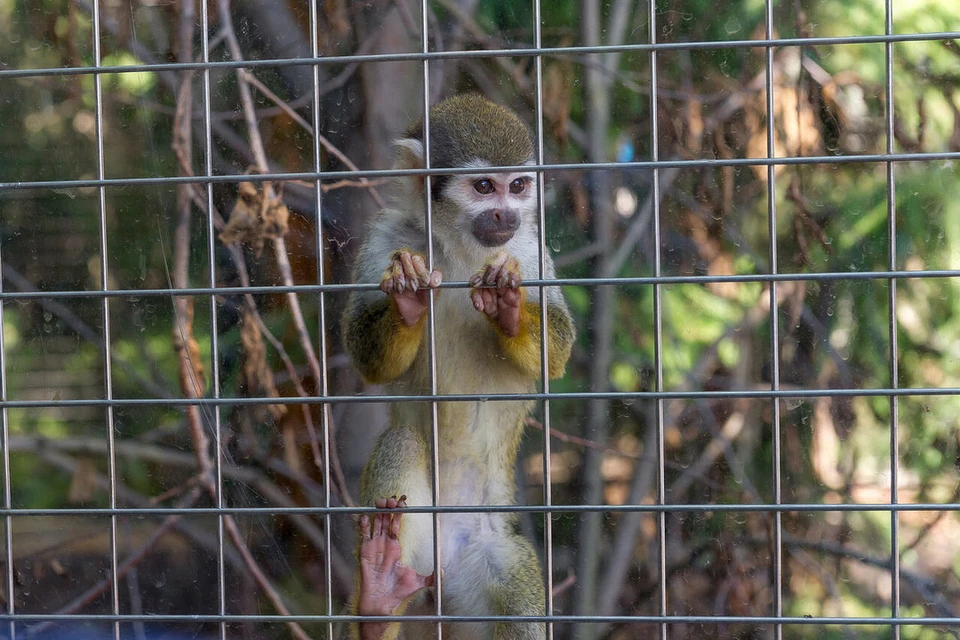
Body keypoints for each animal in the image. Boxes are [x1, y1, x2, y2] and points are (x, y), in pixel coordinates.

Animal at [344, 95, 572, 640]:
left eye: (518, 186)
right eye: (484, 187)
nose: (504, 212)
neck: (458, 248)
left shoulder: (527, 247)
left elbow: (558, 351)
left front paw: (510, 307)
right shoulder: (390, 235)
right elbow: (364, 353)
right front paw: (407, 301)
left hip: (487, 555)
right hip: (416, 553)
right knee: (403, 443)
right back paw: (378, 599)